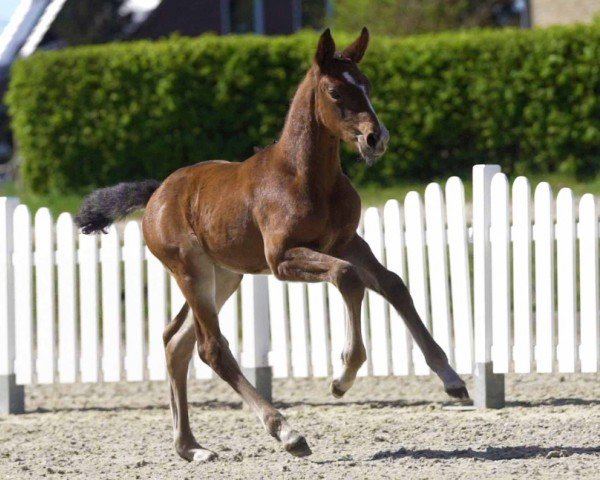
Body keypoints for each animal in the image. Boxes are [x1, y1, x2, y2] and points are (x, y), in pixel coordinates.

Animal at [76, 28, 468, 464]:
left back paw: (191, 447)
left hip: (224, 275)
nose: (375, 138)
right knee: (210, 348)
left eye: (366, 86)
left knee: (176, 341)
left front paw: (452, 379)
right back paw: (286, 432)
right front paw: (342, 376)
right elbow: (348, 278)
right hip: (191, 271)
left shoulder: (348, 242)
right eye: (335, 92)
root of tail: (158, 191)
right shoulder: (282, 260)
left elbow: (394, 284)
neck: (306, 177)